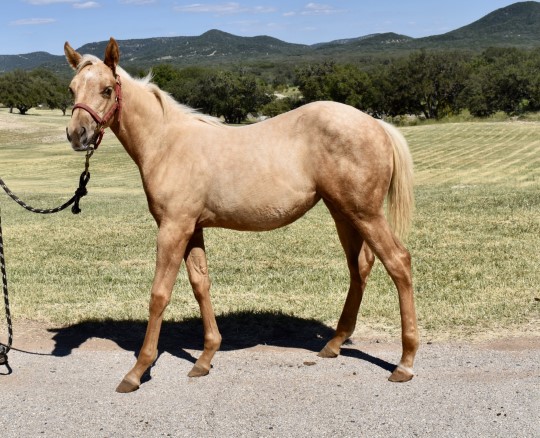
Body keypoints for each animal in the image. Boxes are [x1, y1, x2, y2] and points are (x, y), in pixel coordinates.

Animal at [63, 38, 418, 394]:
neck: (166, 144)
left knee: (398, 262)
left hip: (365, 214)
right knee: (360, 267)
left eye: (107, 89)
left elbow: (159, 294)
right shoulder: (192, 228)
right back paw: (334, 344)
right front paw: (205, 358)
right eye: (72, 89)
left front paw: (137, 370)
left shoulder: (173, 228)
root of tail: (377, 124)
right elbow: (200, 284)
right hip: (343, 213)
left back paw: (405, 362)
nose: (77, 134)